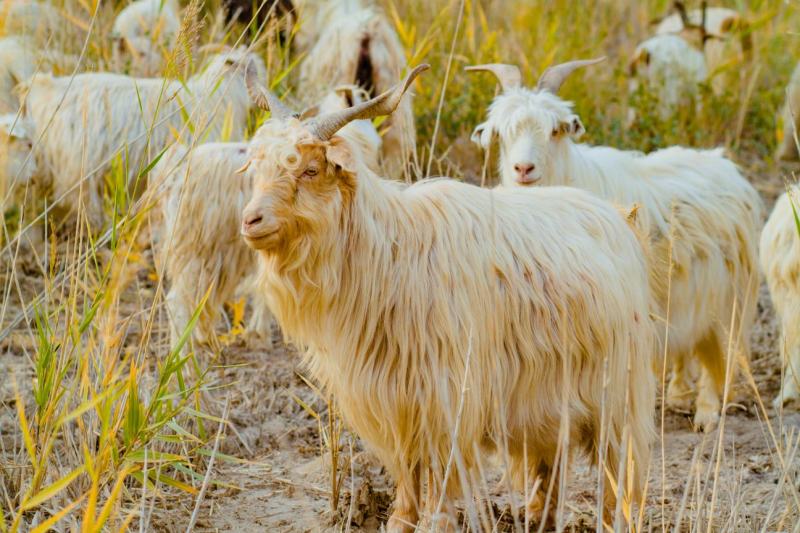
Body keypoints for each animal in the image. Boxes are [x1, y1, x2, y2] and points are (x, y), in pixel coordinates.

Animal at [239, 63, 656, 528]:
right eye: (257, 167)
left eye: (311, 170)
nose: (251, 220)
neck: (388, 252)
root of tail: (618, 216)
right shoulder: (390, 396)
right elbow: (405, 463)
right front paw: (401, 519)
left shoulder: (447, 392)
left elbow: (441, 465)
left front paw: (434, 519)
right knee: (552, 462)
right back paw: (536, 516)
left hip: (618, 392)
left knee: (618, 470)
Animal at [468, 59, 764, 432]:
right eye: (503, 134)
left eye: (555, 131)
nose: (524, 168)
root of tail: (728, 167)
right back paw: (679, 395)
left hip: (729, 297)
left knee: (720, 353)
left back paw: (707, 413)